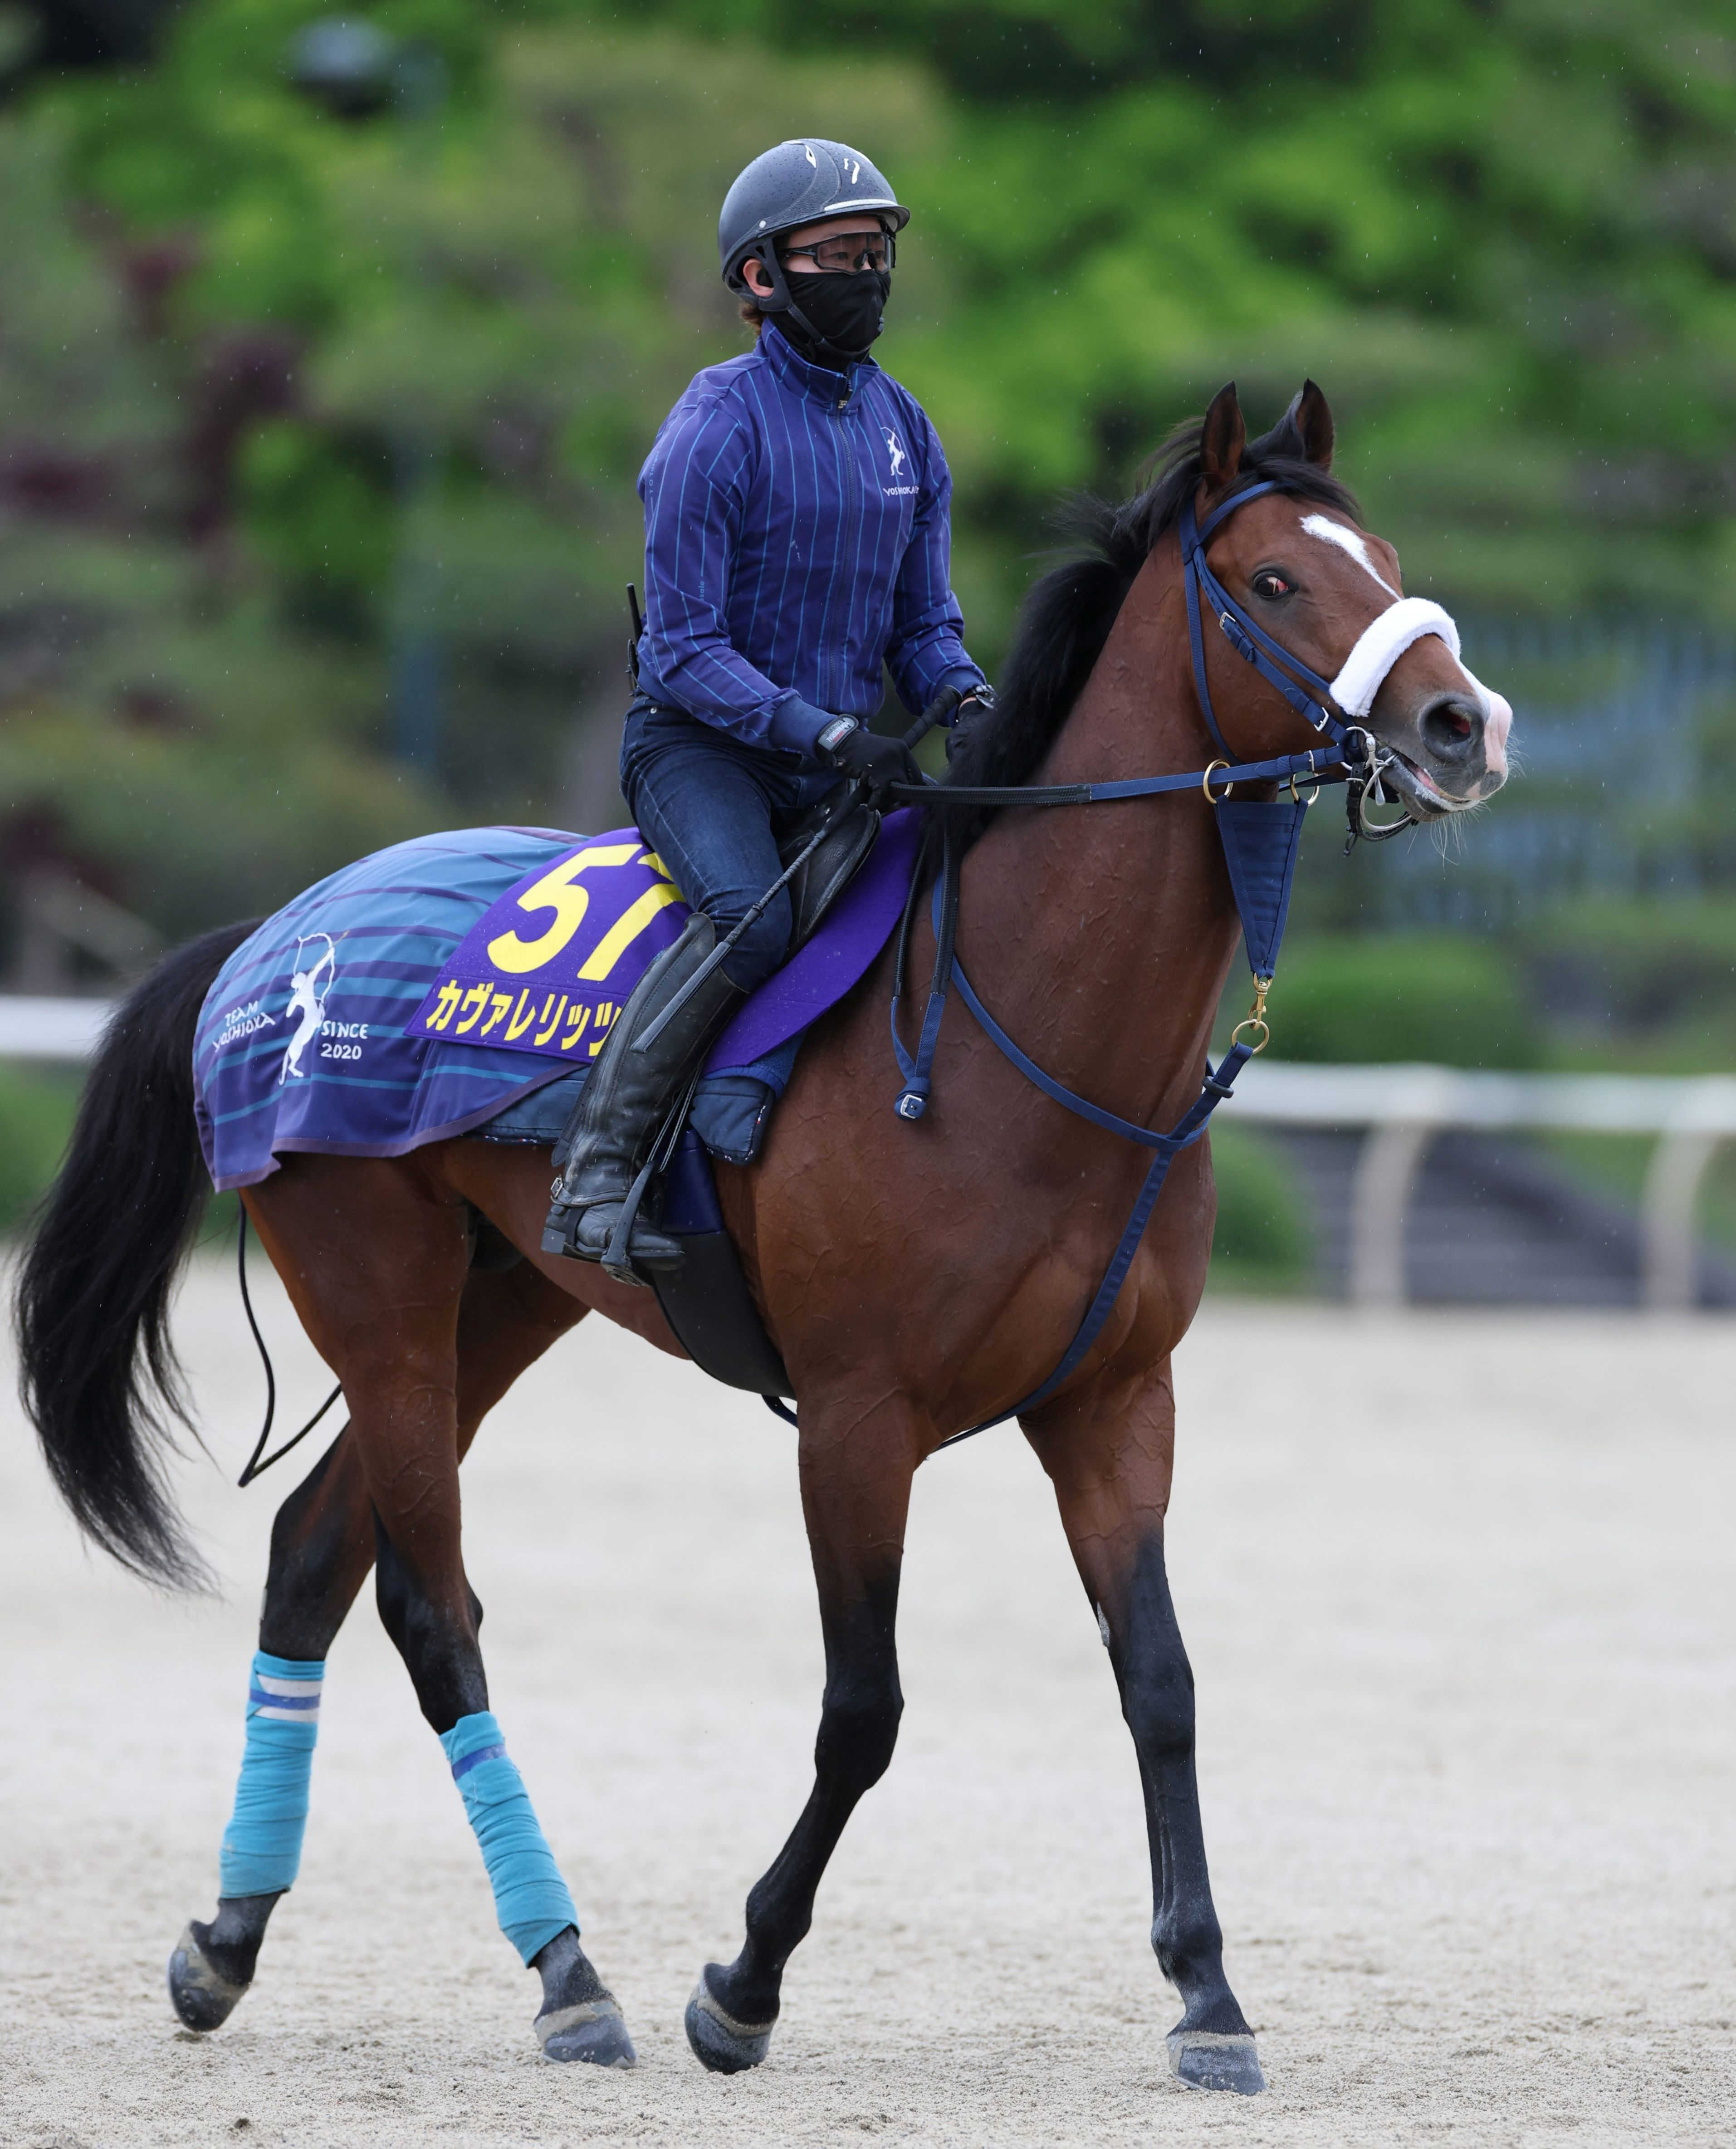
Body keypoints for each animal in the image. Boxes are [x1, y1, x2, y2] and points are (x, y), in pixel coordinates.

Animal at [15, 381, 1509, 2094]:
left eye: (1376, 554)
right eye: (1273, 578)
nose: (1463, 723)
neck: (1019, 1030)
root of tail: (272, 938)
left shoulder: (1114, 1402)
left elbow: (1163, 1685)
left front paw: (1206, 1992)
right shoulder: (858, 1419)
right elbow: (864, 1708)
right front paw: (741, 1980)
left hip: (501, 1299)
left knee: (316, 1551)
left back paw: (229, 1938)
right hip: (374, 1287)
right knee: (426, 1606)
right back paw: (566, 1969)